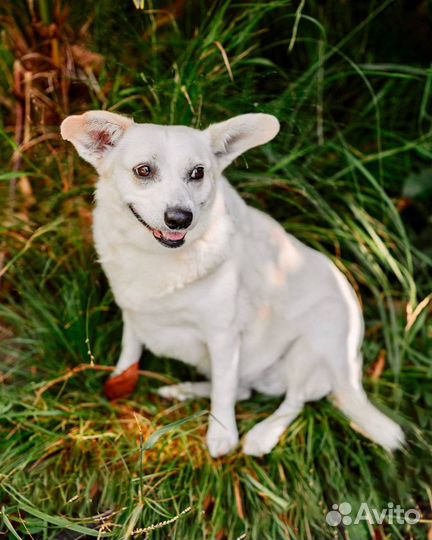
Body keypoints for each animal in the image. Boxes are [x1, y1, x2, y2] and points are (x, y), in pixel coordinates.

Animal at [59, 112, 404, 458]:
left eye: (197, 172)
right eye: (144, 170)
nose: (180, 218)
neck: (157, 257)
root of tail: (352, 370)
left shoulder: (223, 336)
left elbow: (224, 391)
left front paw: (223, 434)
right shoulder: (133, 314)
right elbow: (130, 352)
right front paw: (119, 379)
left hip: (315, 343)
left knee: (291, 401)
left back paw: (262, 435)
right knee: (244, 391)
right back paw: (184, 390)